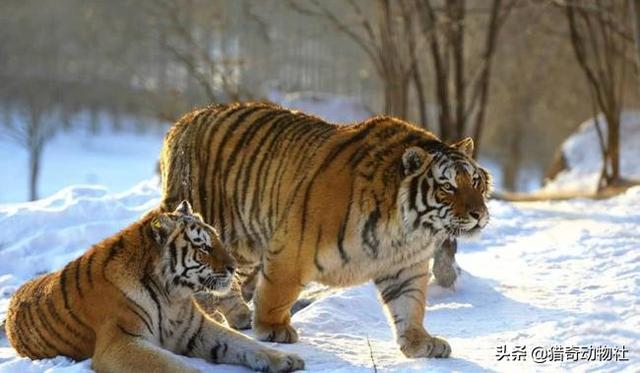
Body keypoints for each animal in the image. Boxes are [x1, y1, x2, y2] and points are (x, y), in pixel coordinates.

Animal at [4, 201, 304, 372]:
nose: (233, 267)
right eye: (203, 247)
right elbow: (176, 367)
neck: (172, 295)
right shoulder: (120, 341)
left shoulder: (197, 329)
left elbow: (244, 343)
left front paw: (286, 359)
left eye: (217, 239)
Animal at [159, 101, 490, 358]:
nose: (479, 214)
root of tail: (184, 120)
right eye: (448, 187)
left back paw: (239, 316)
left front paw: (419, 343)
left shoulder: (405, 265)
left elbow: (410, 304)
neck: (407, 229)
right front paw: (273, 329)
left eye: (475, 182)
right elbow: (277, 291)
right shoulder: (292, 246)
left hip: (243, 246)